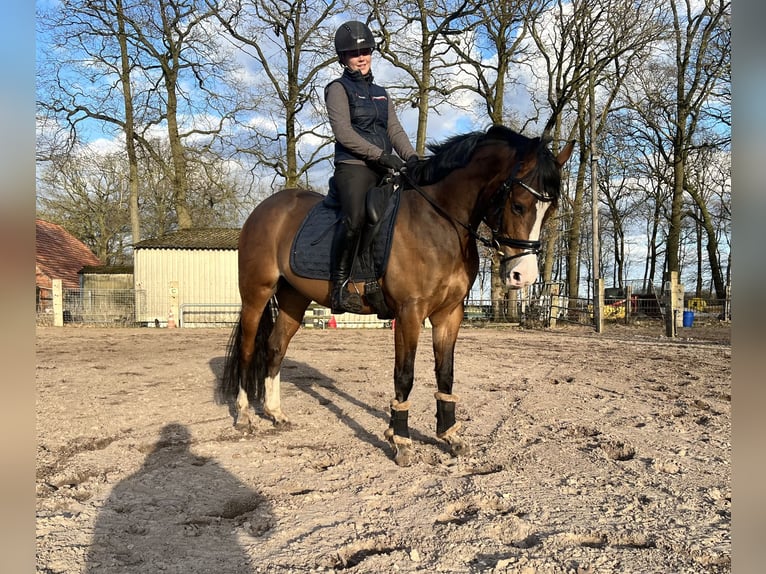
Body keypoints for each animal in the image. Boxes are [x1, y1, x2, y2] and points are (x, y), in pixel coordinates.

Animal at [220, 124, 575, 466]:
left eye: (550, 209)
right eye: (518, 205)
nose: (523, 276)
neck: (440, 223)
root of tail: (266, 208)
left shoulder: (450, 314)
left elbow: (445, 373)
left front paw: (450, 436)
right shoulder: (409, 313)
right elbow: (404, 376)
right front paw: (401, 441)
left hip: (294, 299)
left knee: (275, 348)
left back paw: (275, 413)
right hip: (255, 295)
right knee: (249, 349)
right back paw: (245, 416)